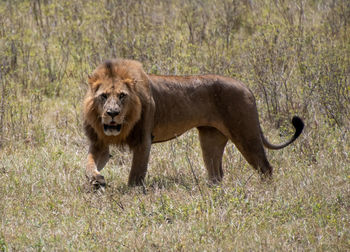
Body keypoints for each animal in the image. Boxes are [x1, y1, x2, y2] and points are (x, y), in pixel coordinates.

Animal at [82, 59, 304, 187]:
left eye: (122, 96)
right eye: (103, 96)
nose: (112, 114)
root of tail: (246, 87)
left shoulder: (143, 140)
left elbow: (136, 173)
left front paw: (133, 193)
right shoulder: (99, 143)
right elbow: (88, 163)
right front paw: (96, 180)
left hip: (246, 134)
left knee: (266, 167)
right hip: (210, 138)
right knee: (217, 174)